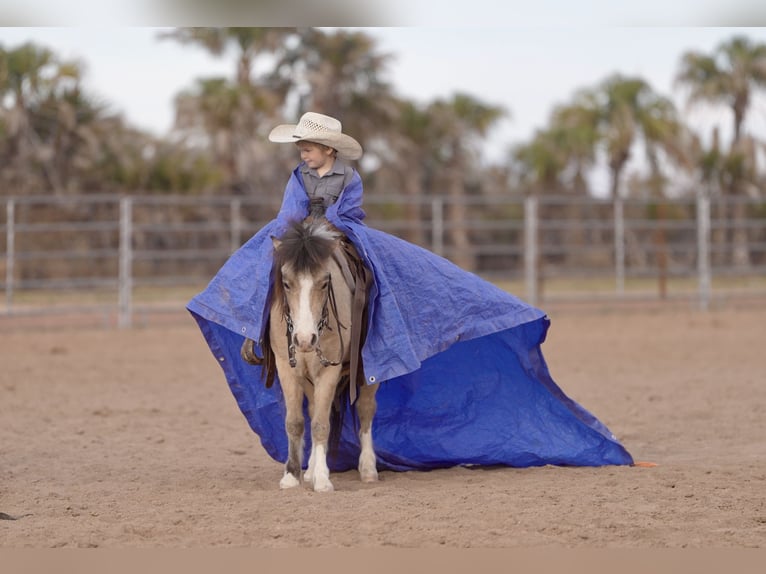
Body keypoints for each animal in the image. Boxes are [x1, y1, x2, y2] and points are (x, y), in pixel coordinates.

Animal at [243, 218, 378, 492]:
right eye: (286, 282)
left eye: (325, 282)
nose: (305, 339)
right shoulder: (287, 368)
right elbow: (295, 422)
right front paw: (292, 475)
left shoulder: (329, 371)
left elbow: (320, 424)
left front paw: (323, 480)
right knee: (316, 407)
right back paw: (311, 471)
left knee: (366, 409)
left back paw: (368, 469)